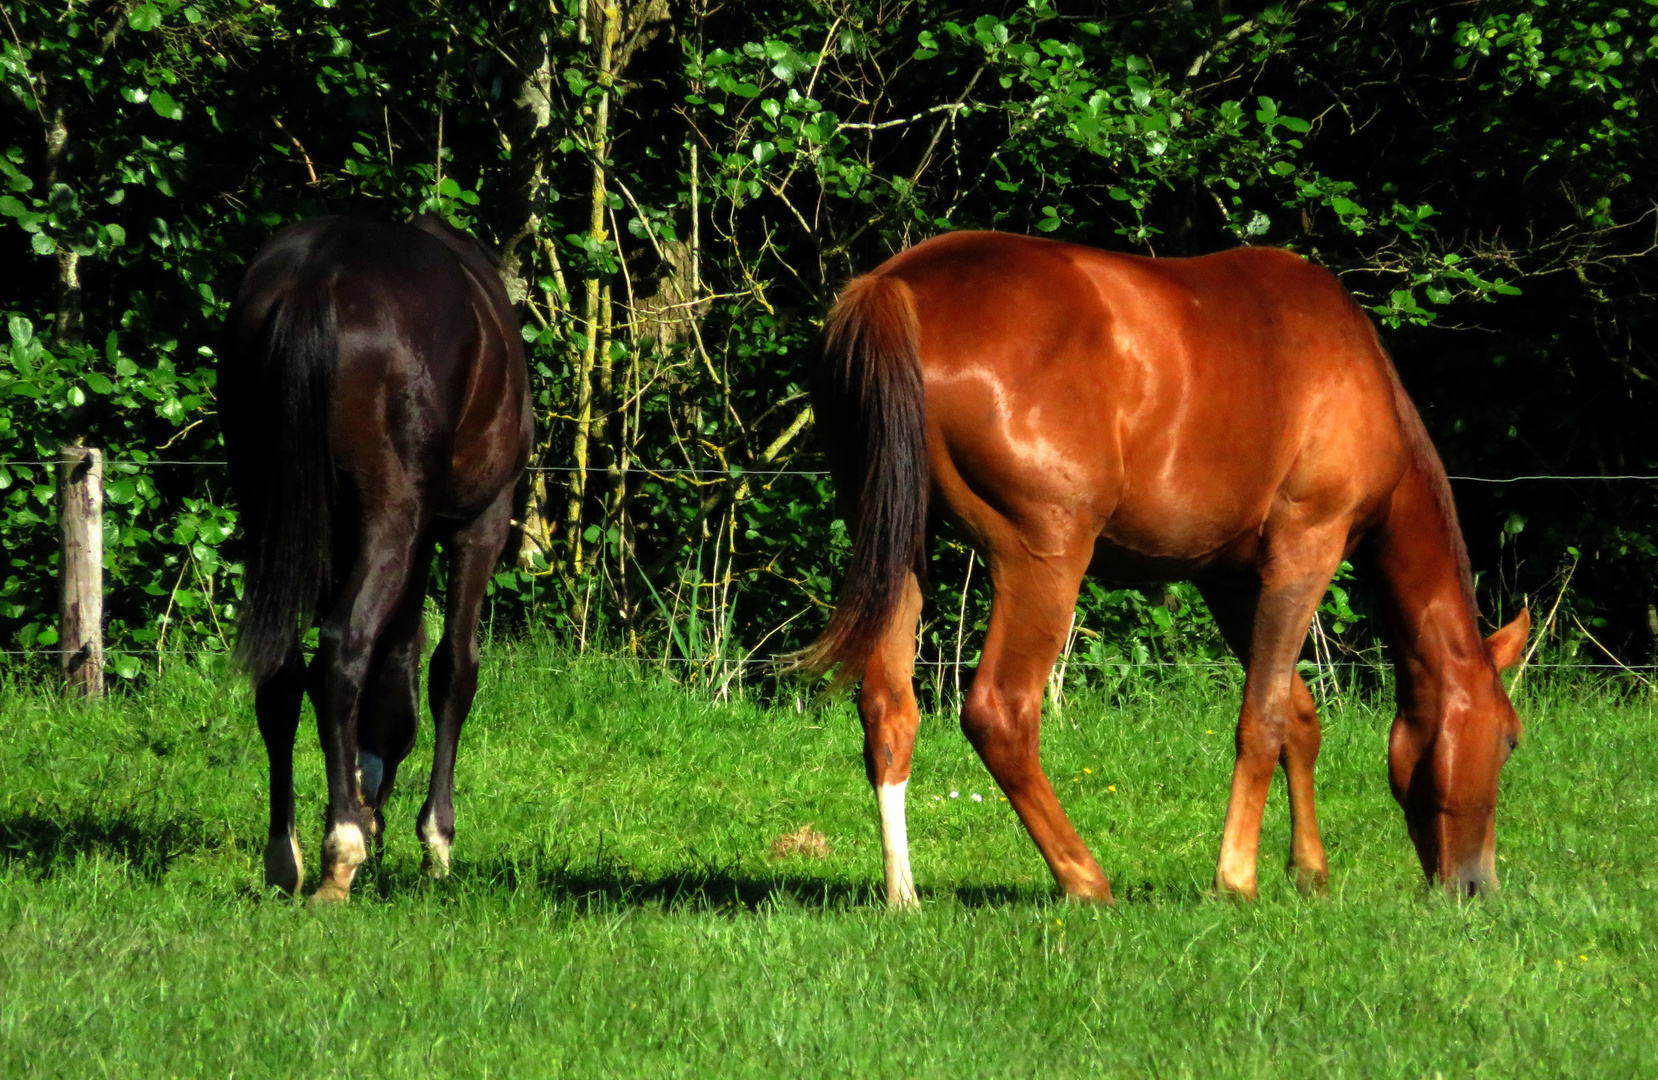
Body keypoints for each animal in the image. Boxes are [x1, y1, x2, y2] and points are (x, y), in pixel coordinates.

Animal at [222, 215, 530, 902]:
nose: (375, 808)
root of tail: (315, 275)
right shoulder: (477, 525)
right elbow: (453, 670)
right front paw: (435, 840)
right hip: (394, 517)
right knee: (341, 653)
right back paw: (342, 850)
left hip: (267, 512)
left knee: (281, 672)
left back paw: (285, 855)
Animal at [802, 232, 1525, 909]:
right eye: (1511, 741)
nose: (1477, 885)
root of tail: (896, 286)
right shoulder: (1304, 554)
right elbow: (1262, 719)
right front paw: (1237, 879)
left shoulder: (1231, 583)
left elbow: (1297, 716)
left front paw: (1308, 872)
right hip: (1045, 560)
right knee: (999, 715)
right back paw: (1084, 878)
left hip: (899, 546)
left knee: (889, 710)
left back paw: (904, 895)